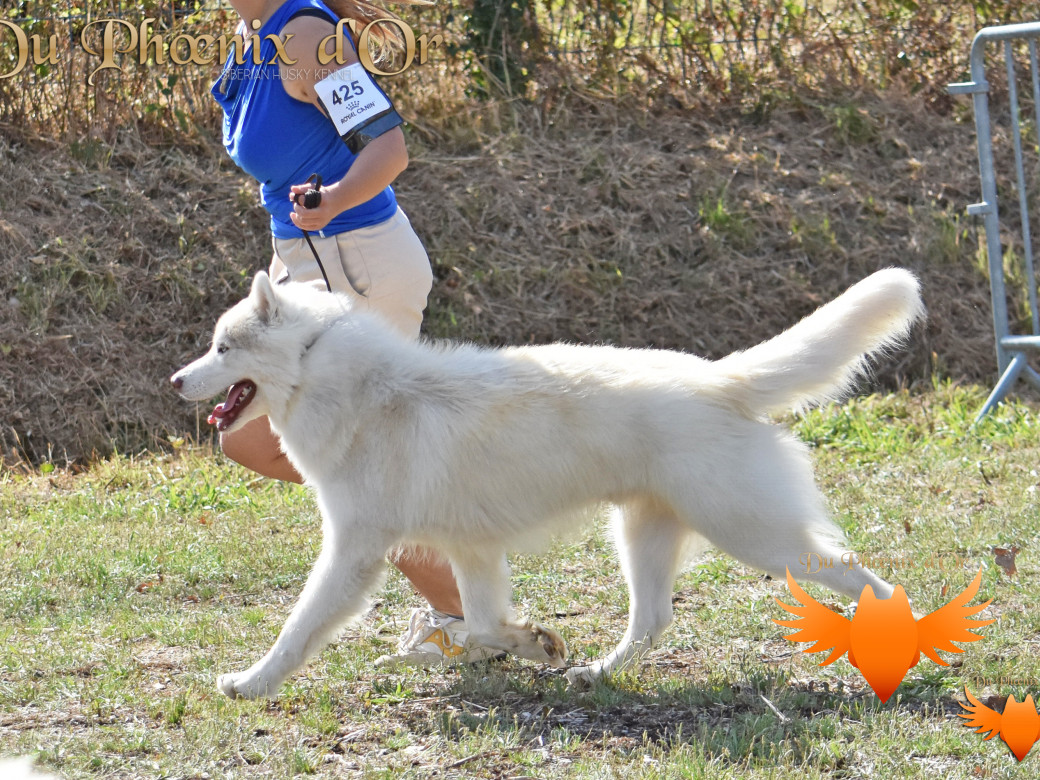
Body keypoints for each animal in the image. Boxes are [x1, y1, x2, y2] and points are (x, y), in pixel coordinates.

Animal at [172, 270, 927, 703]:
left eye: (222, 348)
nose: (177, 381)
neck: (329, 375)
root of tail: (722, 378)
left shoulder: (354, 553)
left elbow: (297, 630)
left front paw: (249, 684)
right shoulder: (470, 552)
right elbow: (481, 624)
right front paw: (535, 644)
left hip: (754, 534)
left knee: (865, 577)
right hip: (644, 537)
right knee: (654, 620)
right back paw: (595, 673)